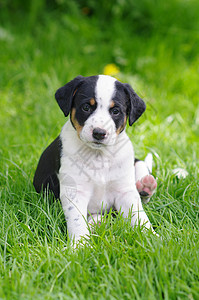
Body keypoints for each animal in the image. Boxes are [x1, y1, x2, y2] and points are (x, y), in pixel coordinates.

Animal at [33, 75, 157, 246]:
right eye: (86, 107)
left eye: (115, 111)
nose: (99, 133)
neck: (99, 156)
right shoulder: (75, 191)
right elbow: (77, 221)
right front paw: (80, 245)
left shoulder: (125, 192)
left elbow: (139, 217)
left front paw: (152, 238)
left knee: (140, 166)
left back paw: (146, 185)